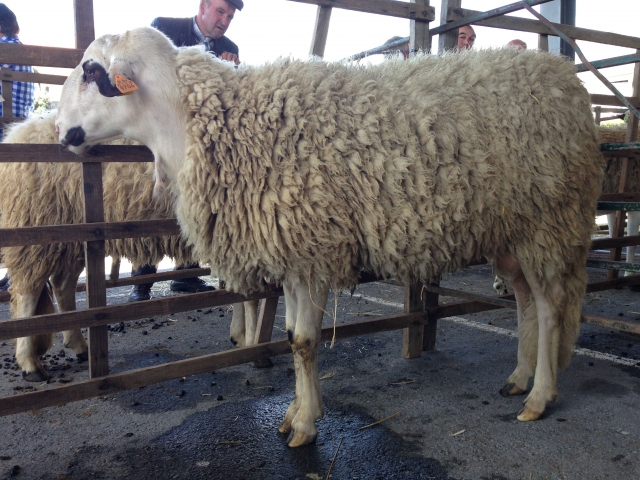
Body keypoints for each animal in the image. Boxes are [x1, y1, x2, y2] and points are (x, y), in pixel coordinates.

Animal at [1, 111, 258, 378]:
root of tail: (17, 132)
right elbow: (252, 296)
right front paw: (253, 343)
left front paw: (240, 336)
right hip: (35, 232)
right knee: (27, 292)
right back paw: (29, 362)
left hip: (73, 238)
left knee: (62, 286)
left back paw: (79, 346)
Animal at [53, 26, 604, 446]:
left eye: (91, 72)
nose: (59, 131)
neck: (206, 126)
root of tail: (567, 80)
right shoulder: (295, 254)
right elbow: (294, 340)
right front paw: (297, 415)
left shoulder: (313, 248)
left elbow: (303, 342)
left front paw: (305, 427)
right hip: (512, 233)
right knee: (526, 299)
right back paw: (519, 377)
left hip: (549, 221)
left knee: (551, 306)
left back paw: (539, 397)